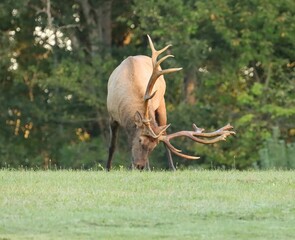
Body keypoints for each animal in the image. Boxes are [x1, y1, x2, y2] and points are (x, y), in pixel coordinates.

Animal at [106, 35, 236, 171]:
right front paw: (108, 168)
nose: (139, 166)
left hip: (162, 103)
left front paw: (142, 168)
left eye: (153, 148)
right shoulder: (112, 116)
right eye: (140, 140)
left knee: (165, 132)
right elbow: (112, 145)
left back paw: (171, 167)